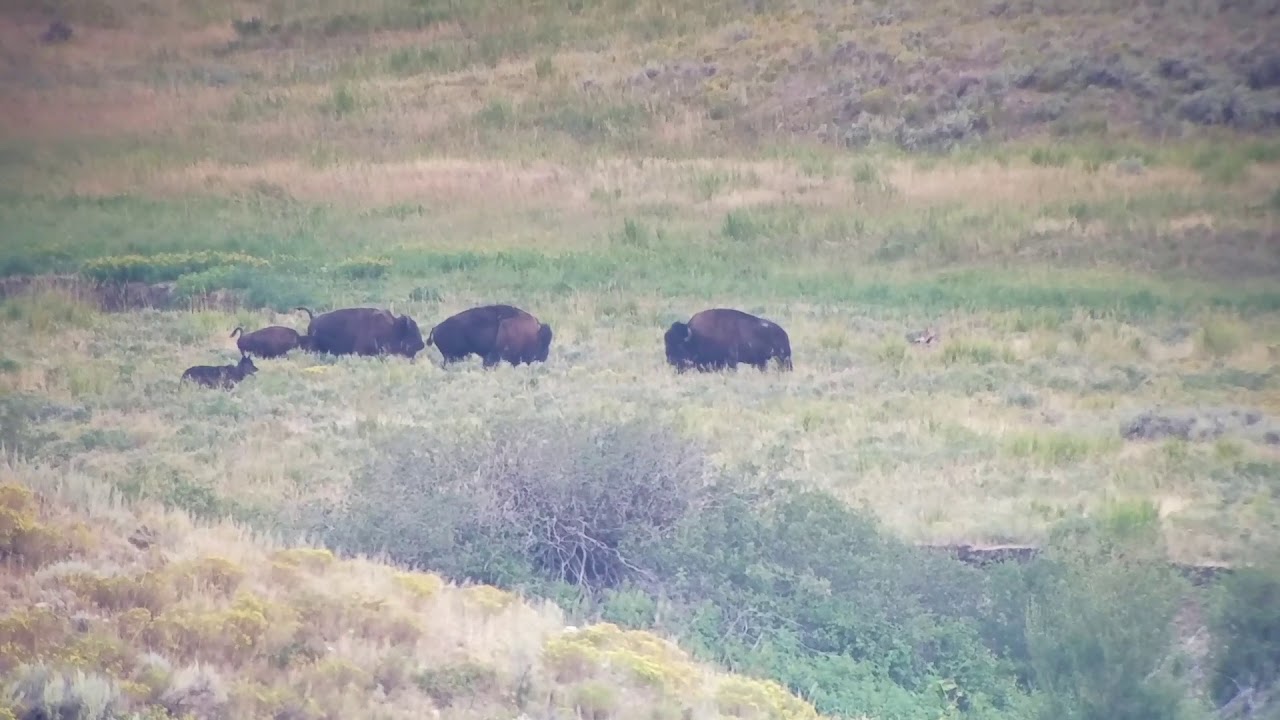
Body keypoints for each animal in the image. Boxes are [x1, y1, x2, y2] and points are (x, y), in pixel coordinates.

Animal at [663, 308, 793, 373]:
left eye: (679, 345)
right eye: (666, 343)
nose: (670, 360)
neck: (697, 336)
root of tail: (784, 333)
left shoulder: (731, 360)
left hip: (783, 358)